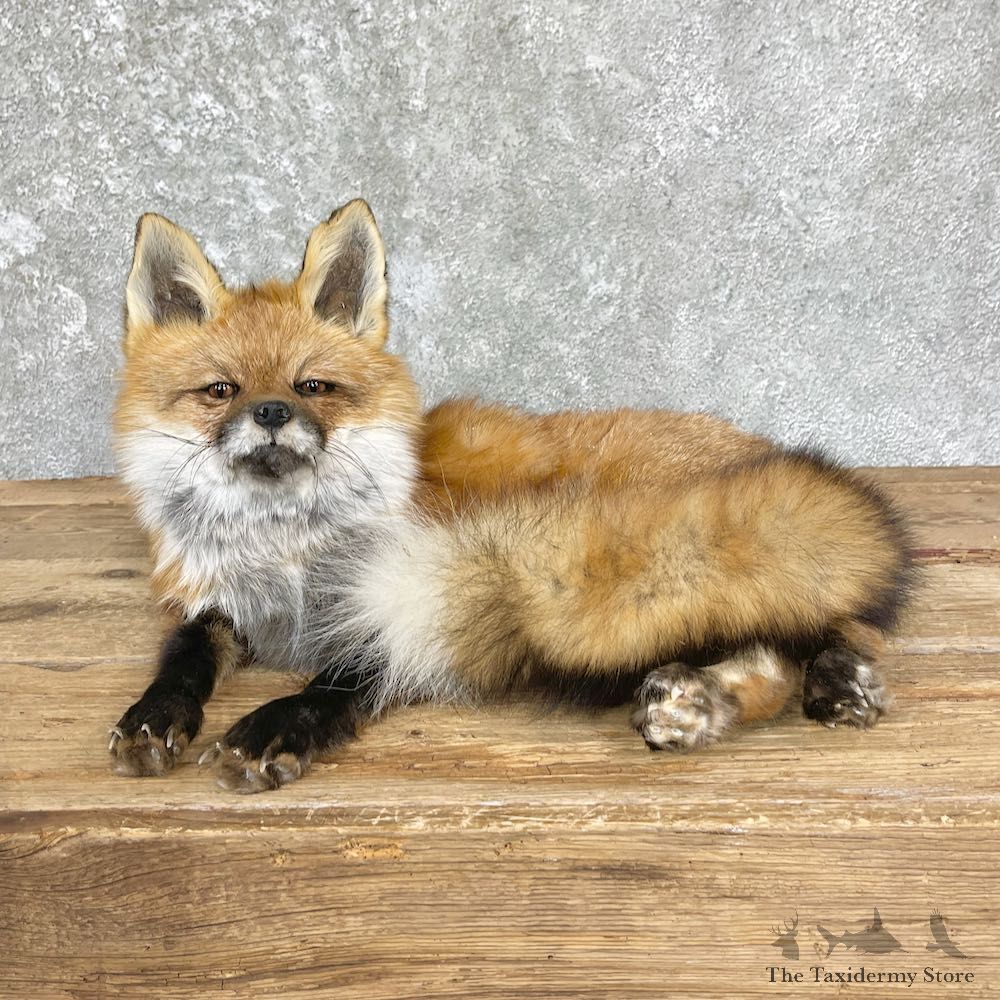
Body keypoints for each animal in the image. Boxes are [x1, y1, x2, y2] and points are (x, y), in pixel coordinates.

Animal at [108, 199, 912, 793]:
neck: (288, 558)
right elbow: (180, 659)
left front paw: (277, 724)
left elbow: (340, 680)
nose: (273, 413)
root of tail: (758, 449)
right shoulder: (219, 603)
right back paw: (733, 701)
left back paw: (803, 687)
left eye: (313, 387)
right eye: (221, 391)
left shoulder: (392, 602)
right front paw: (153, 716)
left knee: (816, 637)